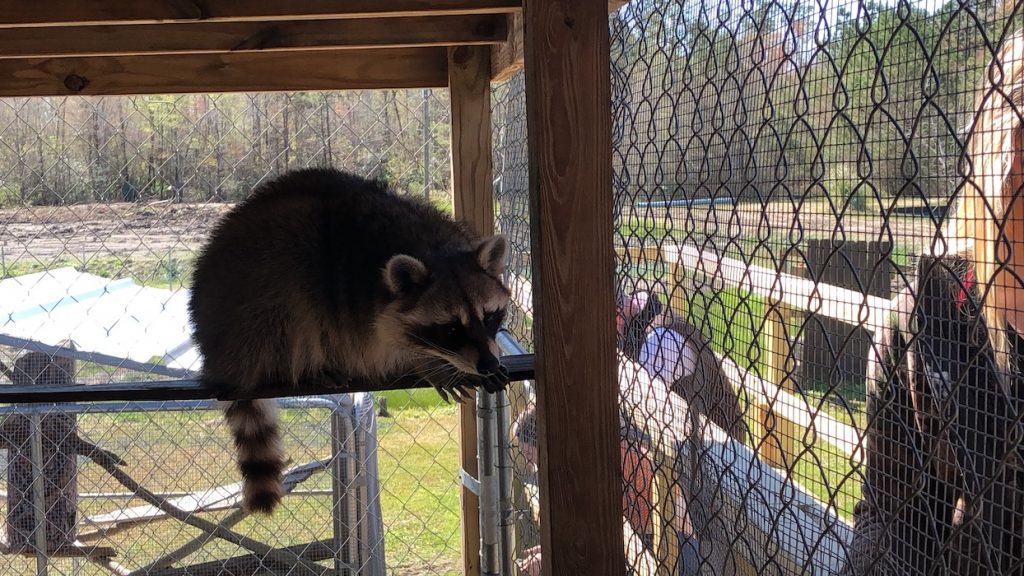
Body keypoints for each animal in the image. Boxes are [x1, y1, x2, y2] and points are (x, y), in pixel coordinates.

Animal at [188, 167, 512, 510]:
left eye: (489, 317)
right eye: (450, 329)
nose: (488, 363)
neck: (431, 247)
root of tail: (212, 347)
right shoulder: (355, 302)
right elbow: (382, 346)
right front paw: (428, 363)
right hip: (254, 295)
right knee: (290, 300)